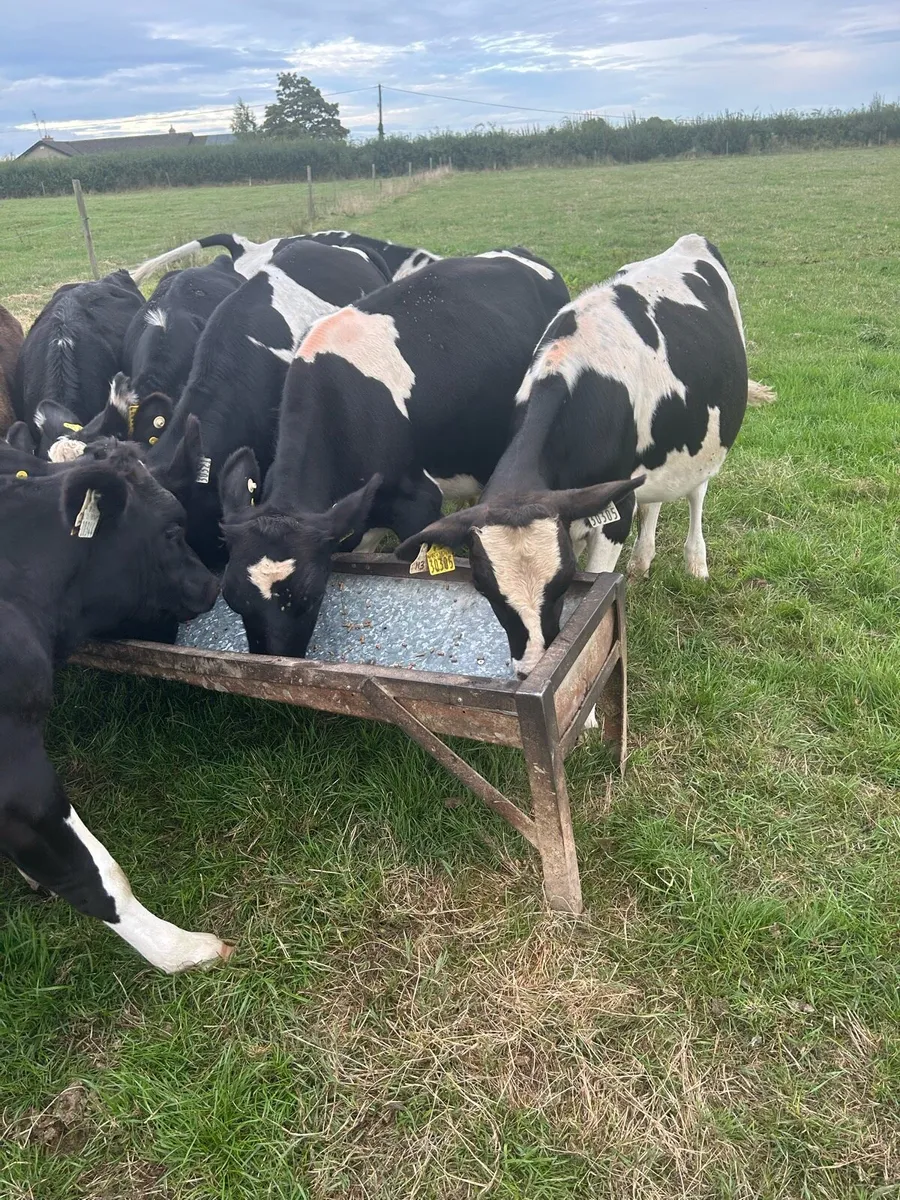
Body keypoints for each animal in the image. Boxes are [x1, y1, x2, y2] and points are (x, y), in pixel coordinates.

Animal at [395, 234, 755, 678]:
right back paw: (641, 562)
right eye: (484, 588)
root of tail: (690, 241)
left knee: (696, 495)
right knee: (654, 501)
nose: (531, 667)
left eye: (563, 584)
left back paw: (696, 564)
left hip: (707, 437)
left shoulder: (615, 507)